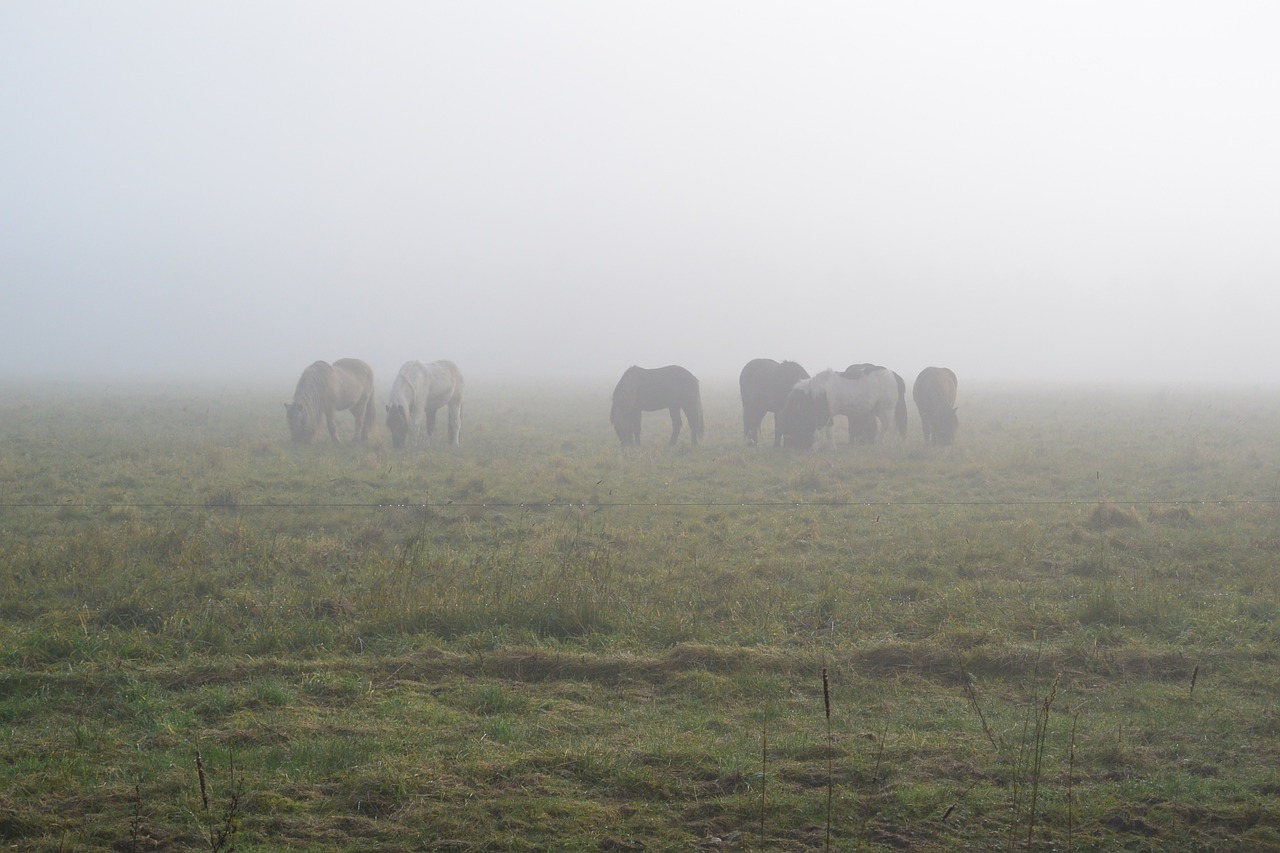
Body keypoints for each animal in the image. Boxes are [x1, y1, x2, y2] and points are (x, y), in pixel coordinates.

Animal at [773, 363, 906, 448]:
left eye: (790, 429)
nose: (792, 448)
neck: (814, 394)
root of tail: (894, 375)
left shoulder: (822, 417)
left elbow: (817, 434)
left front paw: (814, 449)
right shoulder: (829, 416)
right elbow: (829, 433)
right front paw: (832, 448)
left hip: (887, 409)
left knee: (892, 426)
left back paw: (890, 445)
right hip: (879, 409)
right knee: (885, 425)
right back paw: (878, 442)